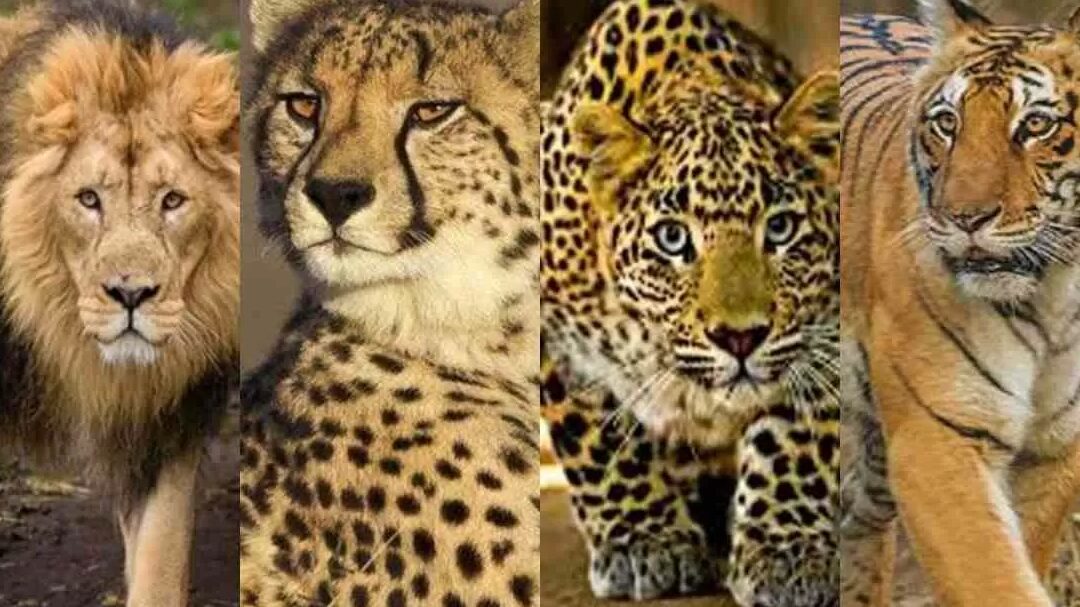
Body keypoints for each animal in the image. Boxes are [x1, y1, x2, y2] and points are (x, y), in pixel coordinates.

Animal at [540, 0, 841, 605]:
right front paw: (643, 540)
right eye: (673, 239)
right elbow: (595, 435)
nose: (740, 338)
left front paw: (786, 551)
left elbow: (795, 436)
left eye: (780, 228)